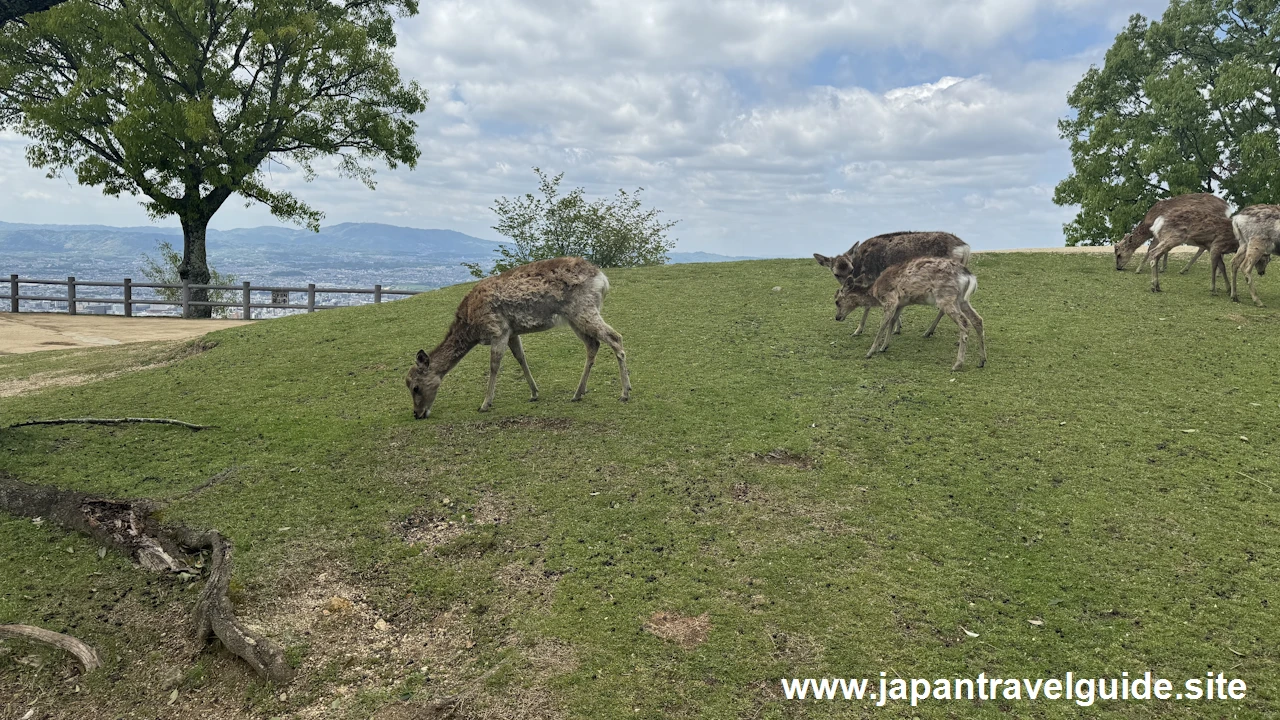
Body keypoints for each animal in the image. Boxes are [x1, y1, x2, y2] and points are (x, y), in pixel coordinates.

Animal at [404, 256, 629, 415]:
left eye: (415, 387)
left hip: (583, 309)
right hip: (575, 318)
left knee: (615, 337)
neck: (471, 326)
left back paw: (625, 392)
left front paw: (485, 404)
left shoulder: (498, 330)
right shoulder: (512, 332)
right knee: (593, 344)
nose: (417, 413)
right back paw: (577, 393)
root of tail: (603, 279)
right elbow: (521, 358)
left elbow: (494, 366)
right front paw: (534, 393)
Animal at [814, 233, 962, 338]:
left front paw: (858, 330)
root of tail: (963, 247)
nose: (847, 283)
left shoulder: (874, 280)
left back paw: (928, 331)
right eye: (836, 274)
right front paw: (897, 327)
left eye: (851, 269)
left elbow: (868, 305)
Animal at [834, 254, 983, 368]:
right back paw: (982, 361)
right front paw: (884, 347)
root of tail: (969, 276)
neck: (875, 292)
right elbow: (892, 322)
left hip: (946, 296)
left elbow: (883, 325)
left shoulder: (890, 300)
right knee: (978, 319)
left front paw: (870, 352)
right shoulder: (901, 304)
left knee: (964, 323)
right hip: (961, 299)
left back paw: (957, 364)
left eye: (837, 301)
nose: (837, 317)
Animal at [1111, 193, 1239, 292]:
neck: (1149, 224)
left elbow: (1151, 248)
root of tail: (1227, 208)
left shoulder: (1158, 233)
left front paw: (1139, 269)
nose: (1118, 267)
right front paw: (1163, 267)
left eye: (1119, 254)